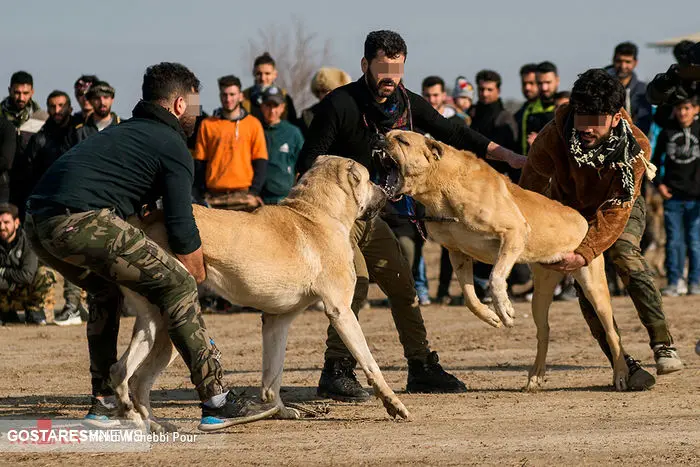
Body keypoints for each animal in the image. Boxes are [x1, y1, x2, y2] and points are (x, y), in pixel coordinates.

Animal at [109, 156, 410, 432]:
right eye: (368, 179)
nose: (385, 191)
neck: (316, 214)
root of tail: (145, 222)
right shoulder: (341, 312)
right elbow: (370, 363)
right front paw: (393, 404)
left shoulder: (277, 321)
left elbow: (272, 376)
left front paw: (279, 411)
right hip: (174, 326)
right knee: (138, 377)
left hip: (152, 326)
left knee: (124, 372)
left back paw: (149, 423)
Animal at [374, 130, 632, 394]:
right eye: (387, 134)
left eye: (402, 141)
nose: (378, 138)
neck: (440, 186)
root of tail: (582, 217)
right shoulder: (457, 252)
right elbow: (470, 298)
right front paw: (491, 316)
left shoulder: (513, 232)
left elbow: (495, 276)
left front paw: (504, 309)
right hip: (540, 296)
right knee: (544, 332)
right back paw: (535, 376)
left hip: (594, 287)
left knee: (612, 332)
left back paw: (621, 374)